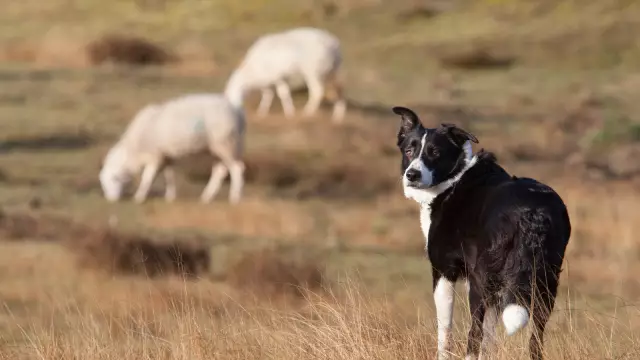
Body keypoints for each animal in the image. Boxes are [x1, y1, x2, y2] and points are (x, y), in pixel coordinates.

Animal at [99, 93, 246, 204]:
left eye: (113, 179)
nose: (111, 200)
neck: (133, 149)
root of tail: (237, 111)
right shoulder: (166, 157)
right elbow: (169, 177)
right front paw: (170, 197)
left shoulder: (155, 157)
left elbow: (147, 179)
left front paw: (139, 197)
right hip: (218, 148)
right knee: (220, 170)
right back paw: (206, 197)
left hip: (226, 143)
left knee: (237, 168)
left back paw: (234, 198)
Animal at [392, 107, 572, 360]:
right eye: (409, 150)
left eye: (435, 153)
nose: (412, 174)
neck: (455, 177)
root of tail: (532, 214)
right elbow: (489, 337)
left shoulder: (444, 271)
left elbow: (445, 330)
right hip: (545, 283)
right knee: (535, 339)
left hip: (482, 281)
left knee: (474, 334)